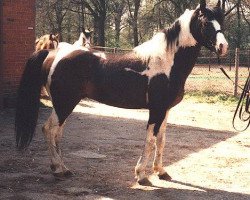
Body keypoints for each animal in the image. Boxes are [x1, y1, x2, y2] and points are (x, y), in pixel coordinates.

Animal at [14, 0, 228, 186]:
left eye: (221, 20)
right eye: (205, 22)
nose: (223, 46)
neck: (166, 62)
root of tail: (54, 54)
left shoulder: (165, 110)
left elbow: (161, 140)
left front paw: (161, 171)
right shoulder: (156, 110)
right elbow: (150, 140)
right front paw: (141, 175)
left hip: (63, 104)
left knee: (57, 132)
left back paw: (62, 168)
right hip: (64, 103)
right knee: (49, 130)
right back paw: (58, 169)